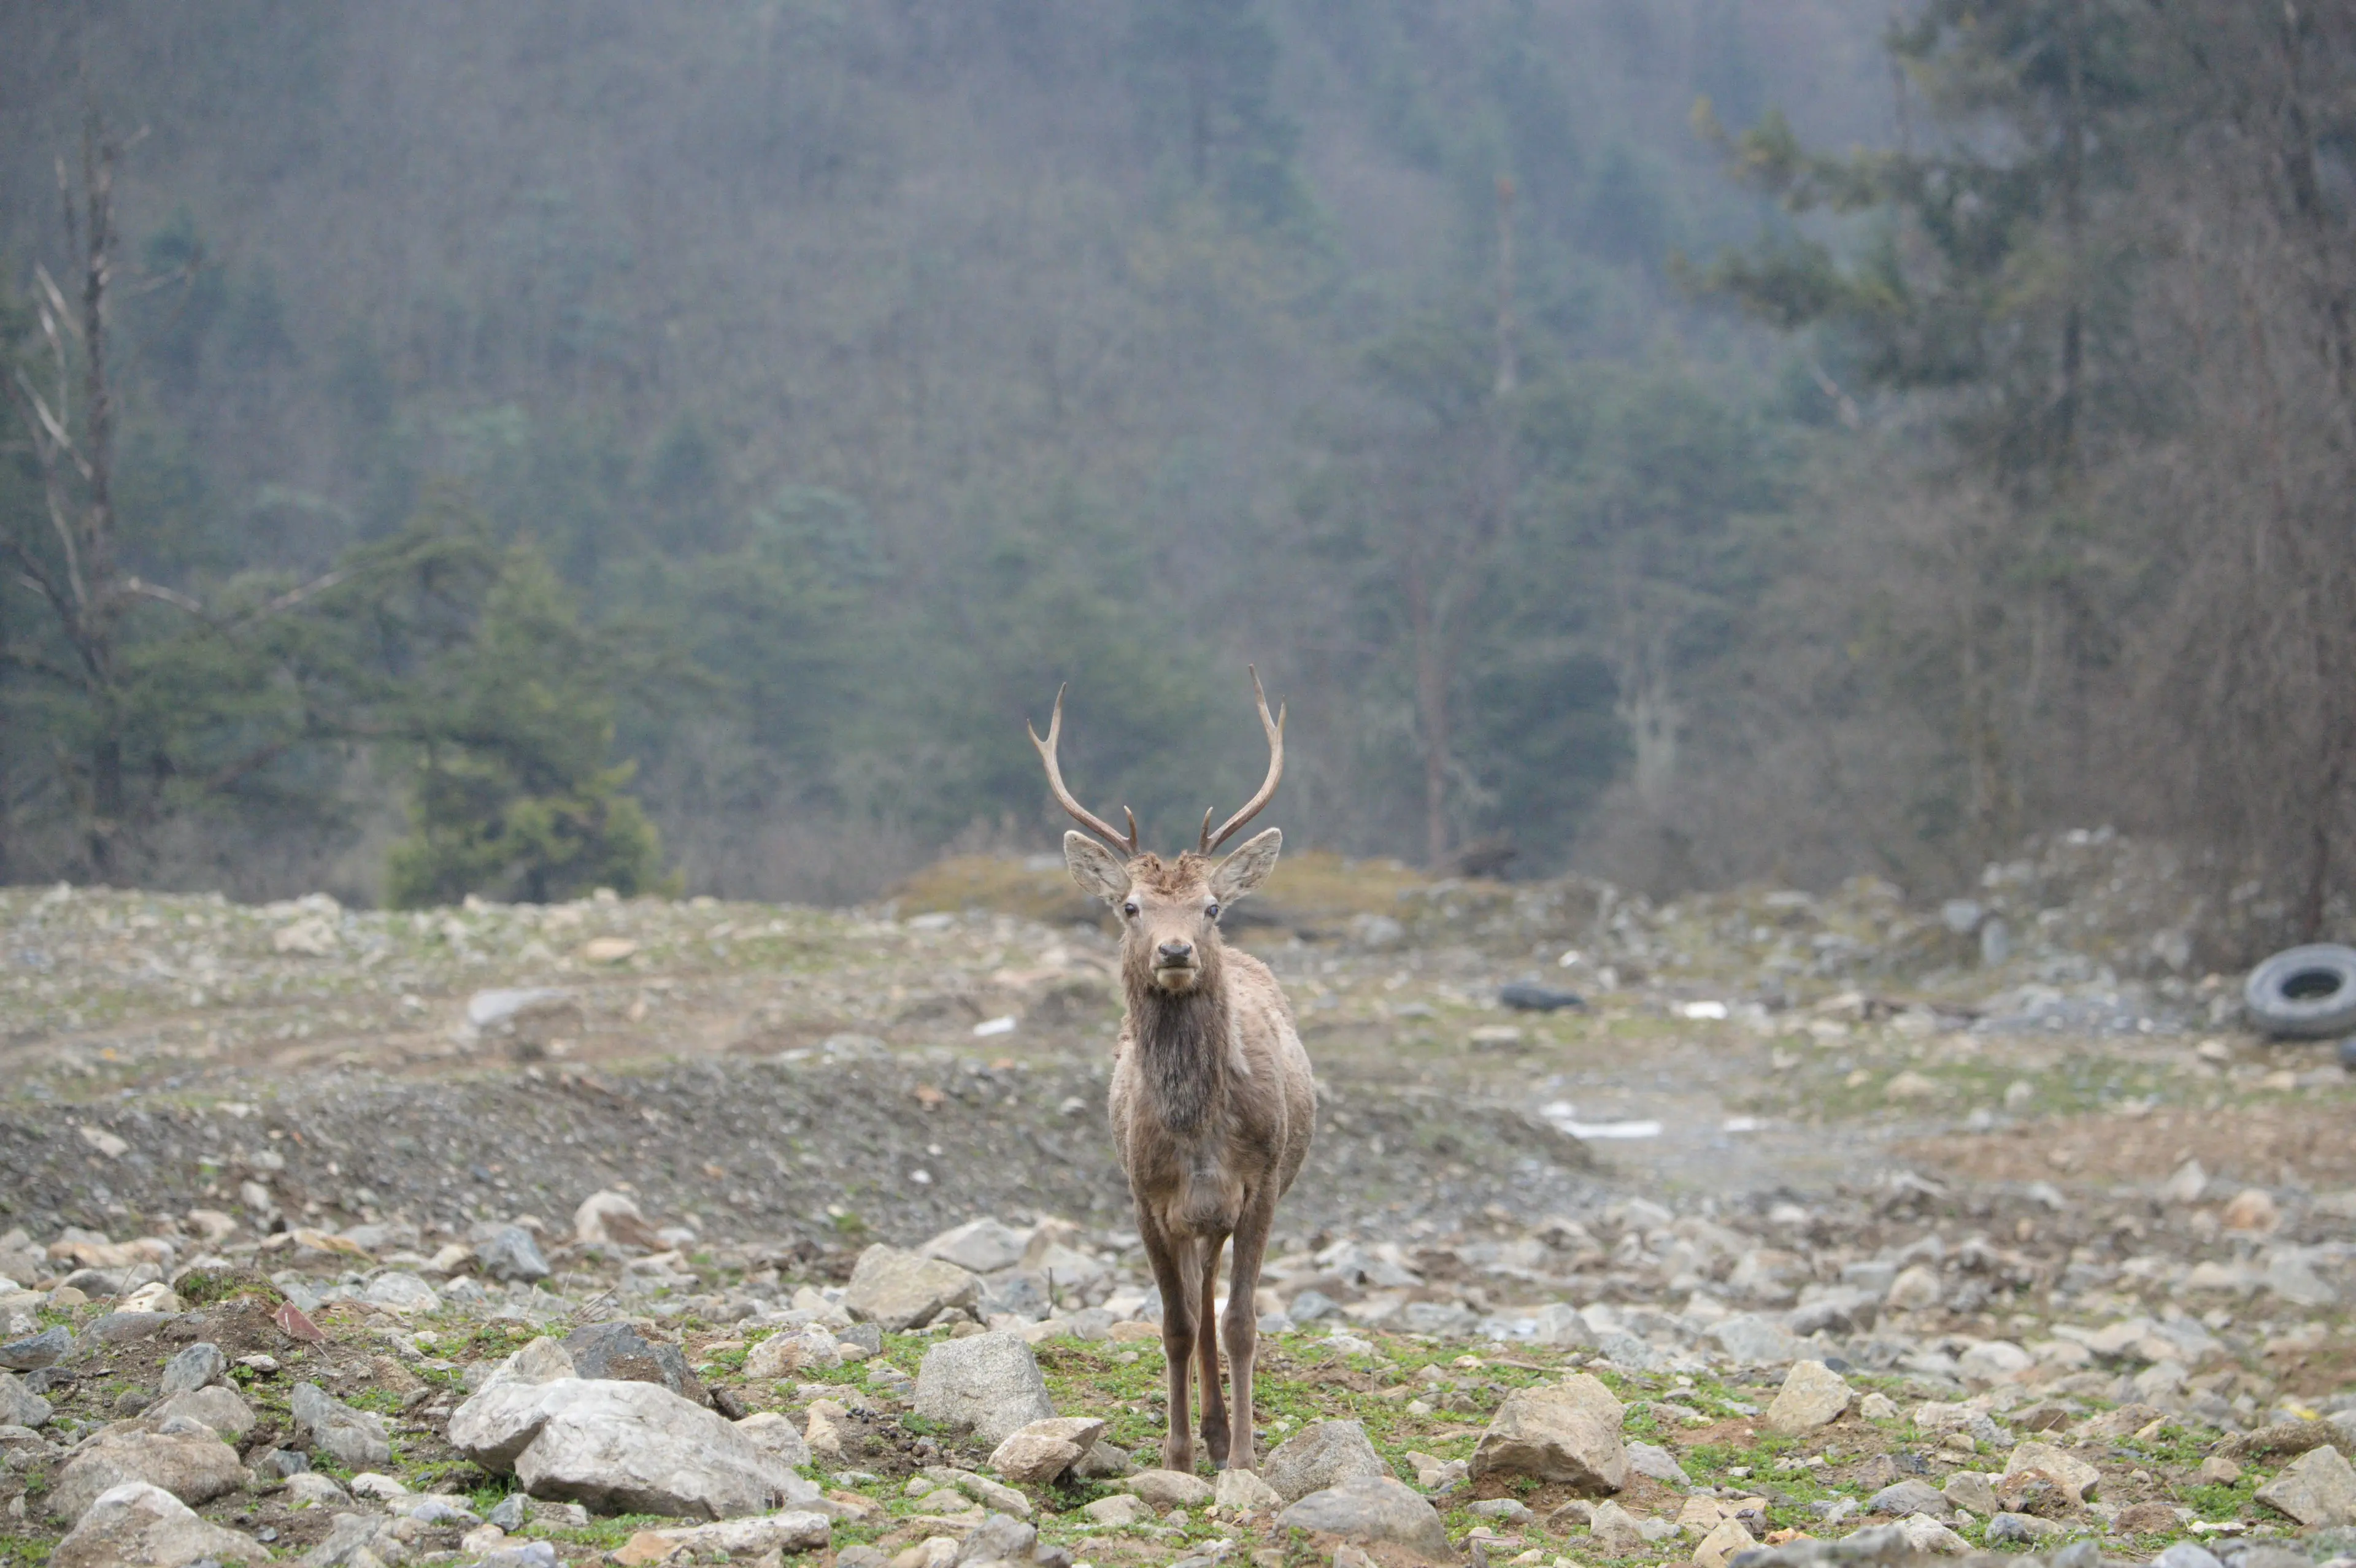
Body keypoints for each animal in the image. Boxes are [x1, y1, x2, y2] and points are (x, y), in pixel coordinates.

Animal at [1029, 669, 1314, 1476]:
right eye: (1130, 906)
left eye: (1212, 906)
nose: (1177, 950)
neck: (1197, 1132)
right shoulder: (1144, 1197)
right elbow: (1175, 1326)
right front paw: (1178, 1455)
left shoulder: (1261, 1186)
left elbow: (1242, 1322)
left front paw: (1243, 1457)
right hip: (1187, 1216)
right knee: (1195, 1297)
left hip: (1228, 1207)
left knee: (1215, 1295)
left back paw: (1225, 1429)